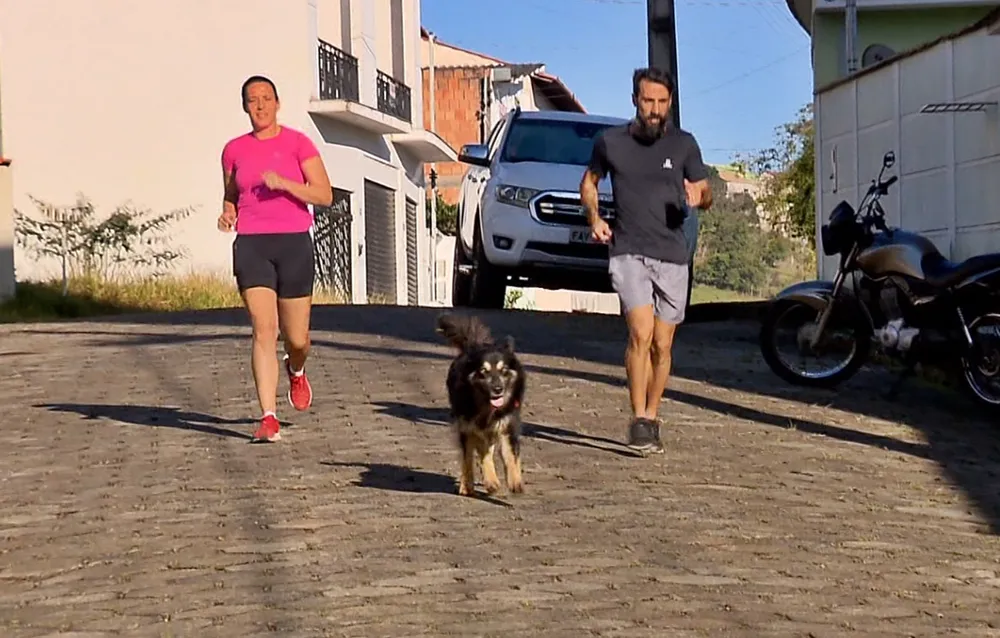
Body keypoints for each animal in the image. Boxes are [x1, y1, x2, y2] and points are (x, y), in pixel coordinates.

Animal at [436, 312, 528, 498]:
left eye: (504, 370)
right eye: (483, 372)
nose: (498, 389)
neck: (487, 407)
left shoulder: (507, 424)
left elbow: (510, 455)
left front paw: (515, 482)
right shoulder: (473, 427)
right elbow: (482, 455)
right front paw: (491, 482)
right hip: (464, 425)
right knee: (468, 457)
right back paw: (467, 486)